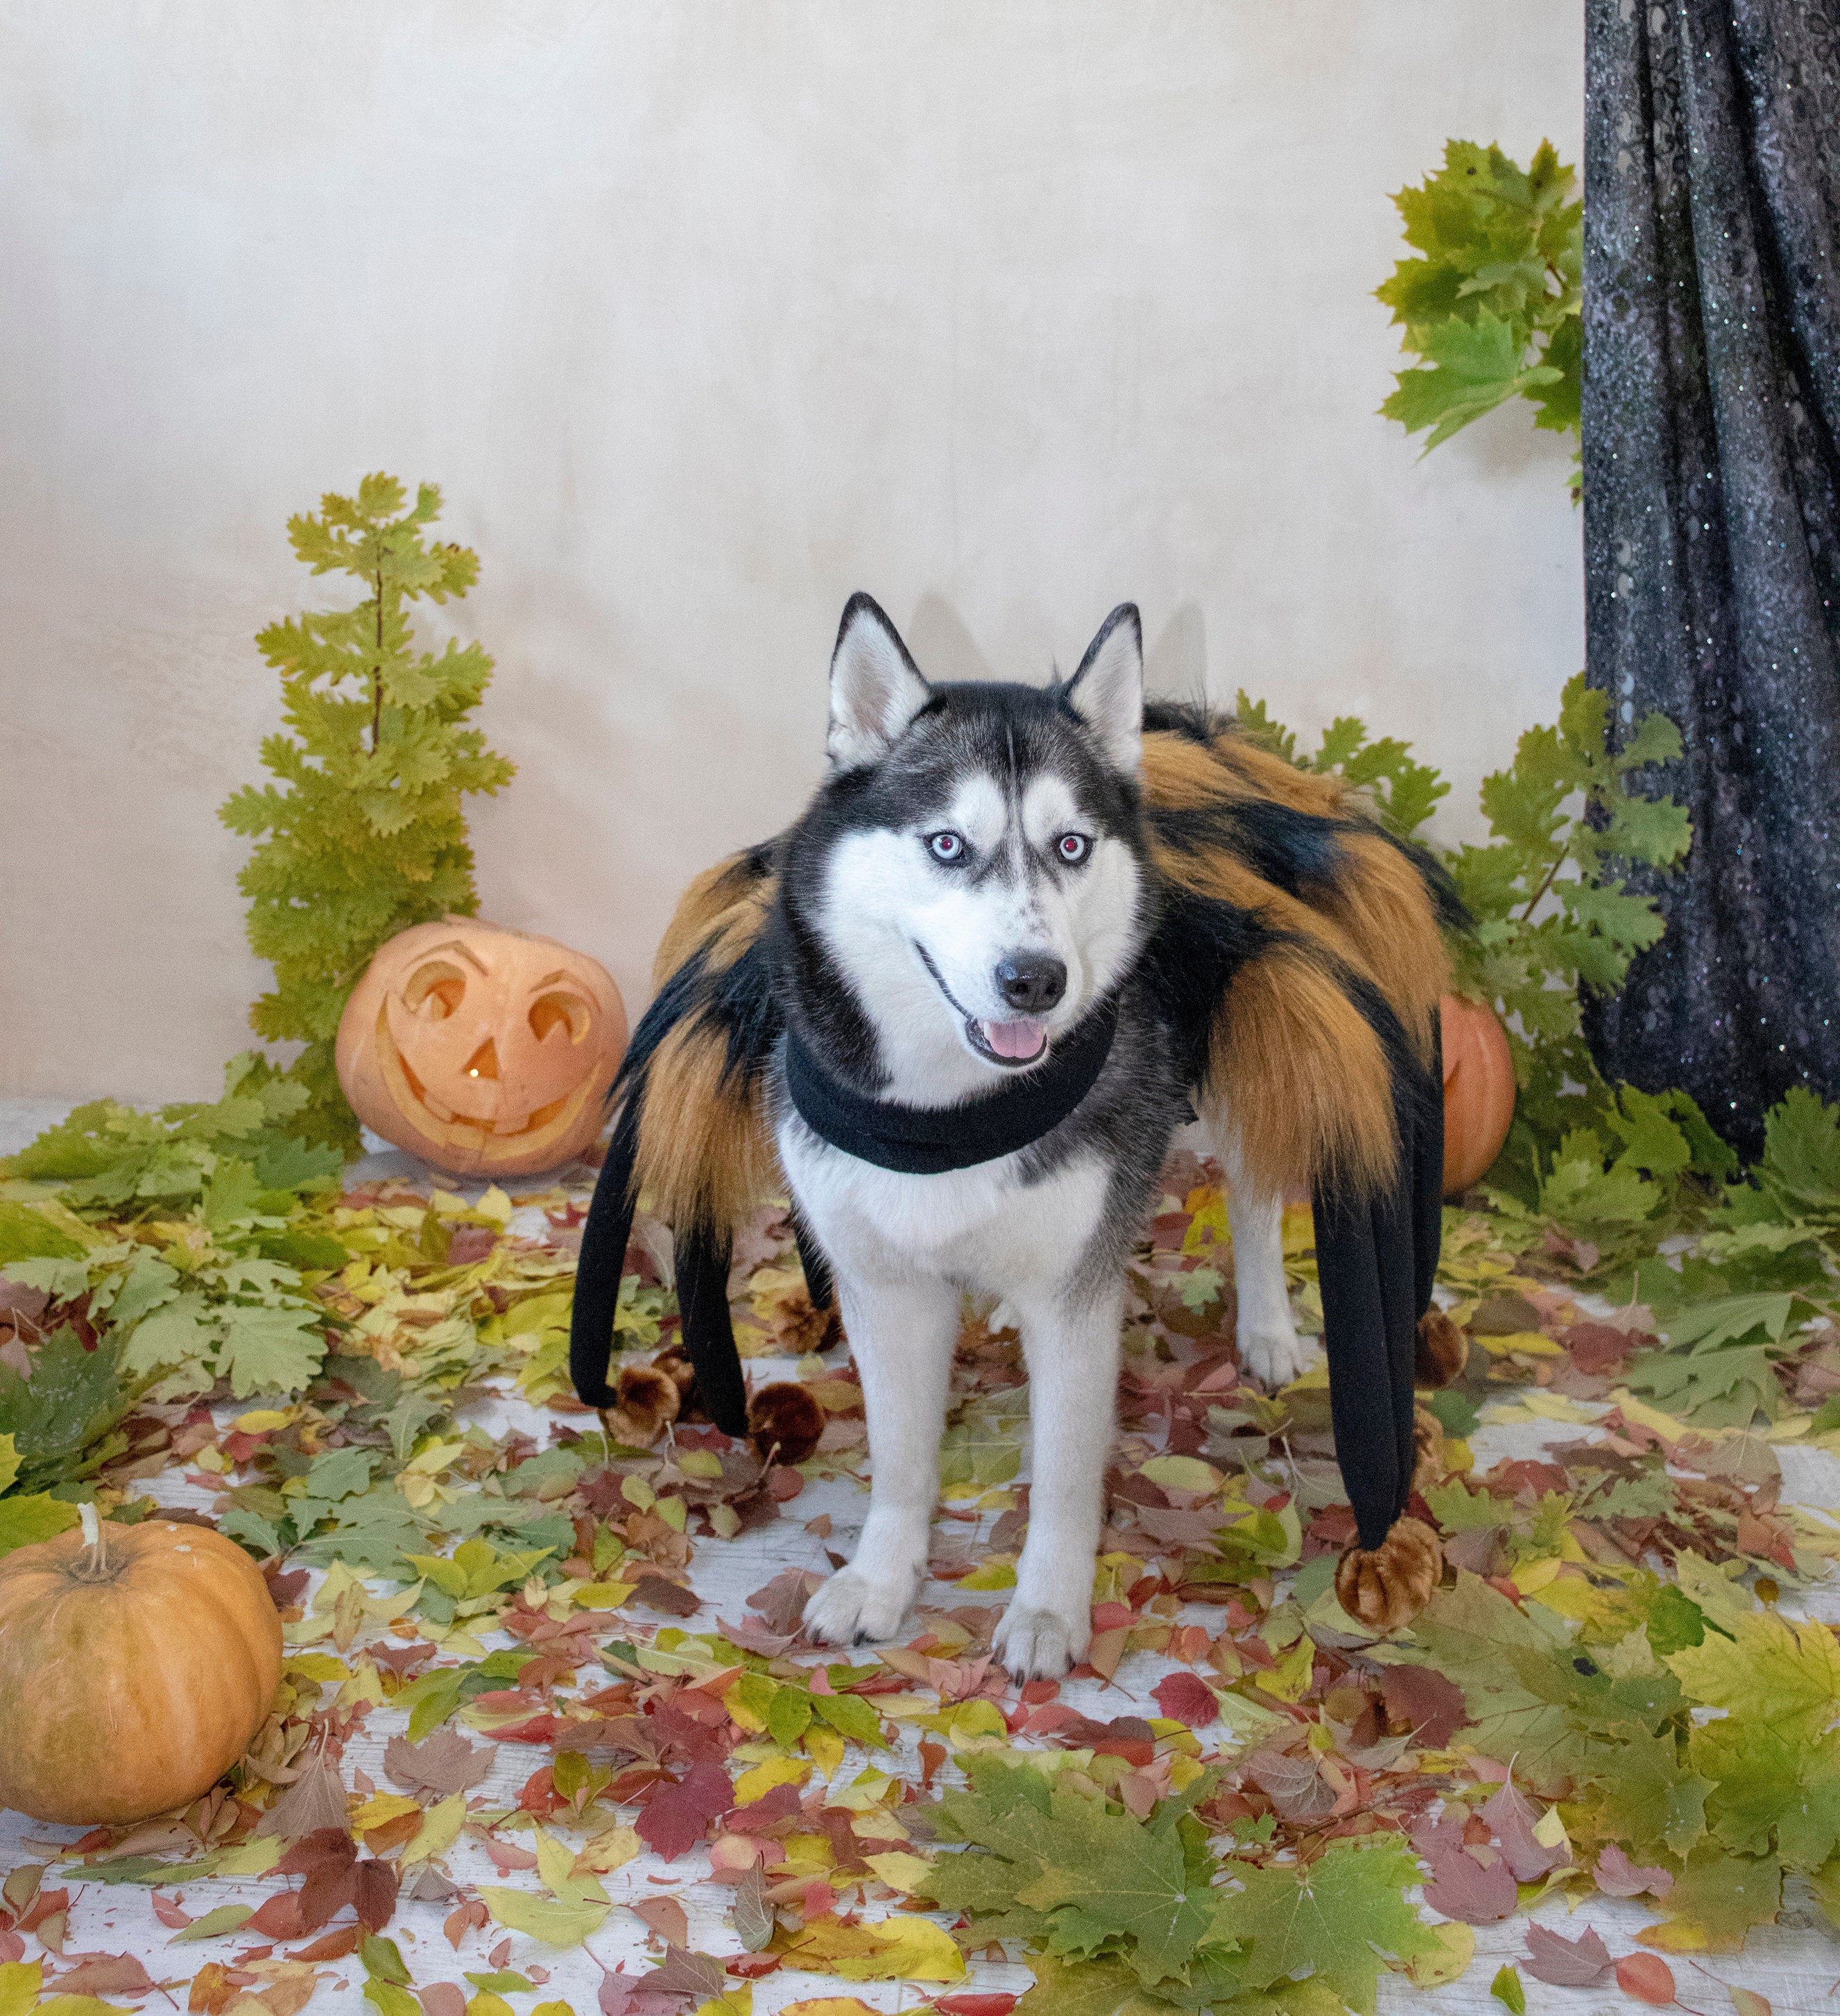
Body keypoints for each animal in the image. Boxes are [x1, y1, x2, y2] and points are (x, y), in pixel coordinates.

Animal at [568, 588, 1459, 1677]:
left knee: (1253, 1191)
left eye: (1070, 844)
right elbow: (902, 1456)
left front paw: (1045, 1608)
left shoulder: (1074, 1303)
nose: (1035, 980)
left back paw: (1267, 1330)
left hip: (1262, 1048)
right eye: (948, 844)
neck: (948, 1114)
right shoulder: (884, 1287)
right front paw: (881, 1579)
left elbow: (1068, 1477)